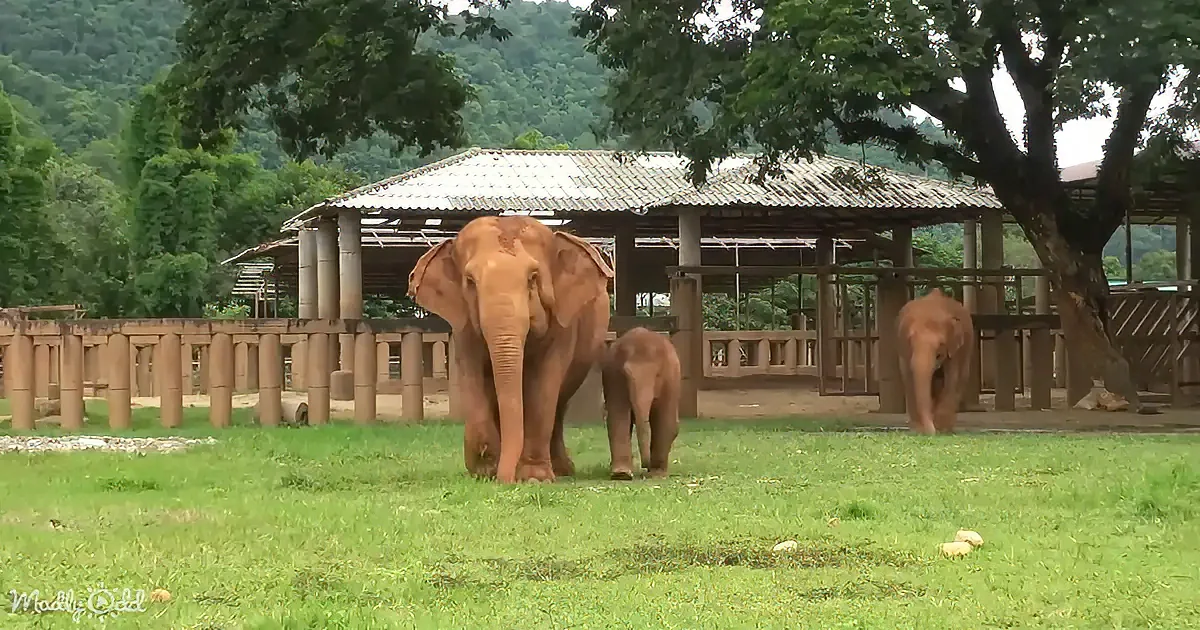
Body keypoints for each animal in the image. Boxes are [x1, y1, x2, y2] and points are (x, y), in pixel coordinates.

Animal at [407, 216, 614, 483]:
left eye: (532, 278)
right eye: (470, 281)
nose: (505, 480)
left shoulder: (563, 322)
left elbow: (544, 383)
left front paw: (534, 478)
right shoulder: (464, 326)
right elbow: (472, 376)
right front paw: (485, 469)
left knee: (559, 402)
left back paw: (562, 470)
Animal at [601, 326, 681, 480]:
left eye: (657, 375)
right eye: (626, 374)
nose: (646, 466)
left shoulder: (671, 378)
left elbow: (665, 419)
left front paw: (656, 474)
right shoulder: (613, 375)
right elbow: (618, 415)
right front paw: (622, 475)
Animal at [896, 288, 975, 435]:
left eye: (939, 353)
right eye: (910, 341)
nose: (931, 432)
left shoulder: (954, 348)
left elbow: (952, 377)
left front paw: (941, 429)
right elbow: (909, 377)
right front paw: (919, 429)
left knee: (961, 377)